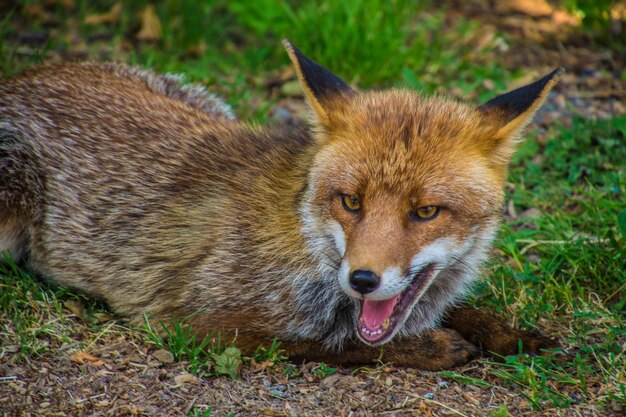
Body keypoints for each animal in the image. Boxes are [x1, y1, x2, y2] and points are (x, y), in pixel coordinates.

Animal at [0, 41, 560, 368]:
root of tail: (22, 78)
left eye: (426, 212)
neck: (307, 246)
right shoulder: (191, 321)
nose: (362, 279)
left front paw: (512, 335)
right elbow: (335, 342)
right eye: (350, 202)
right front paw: (434, 347)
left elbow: (465, 311)